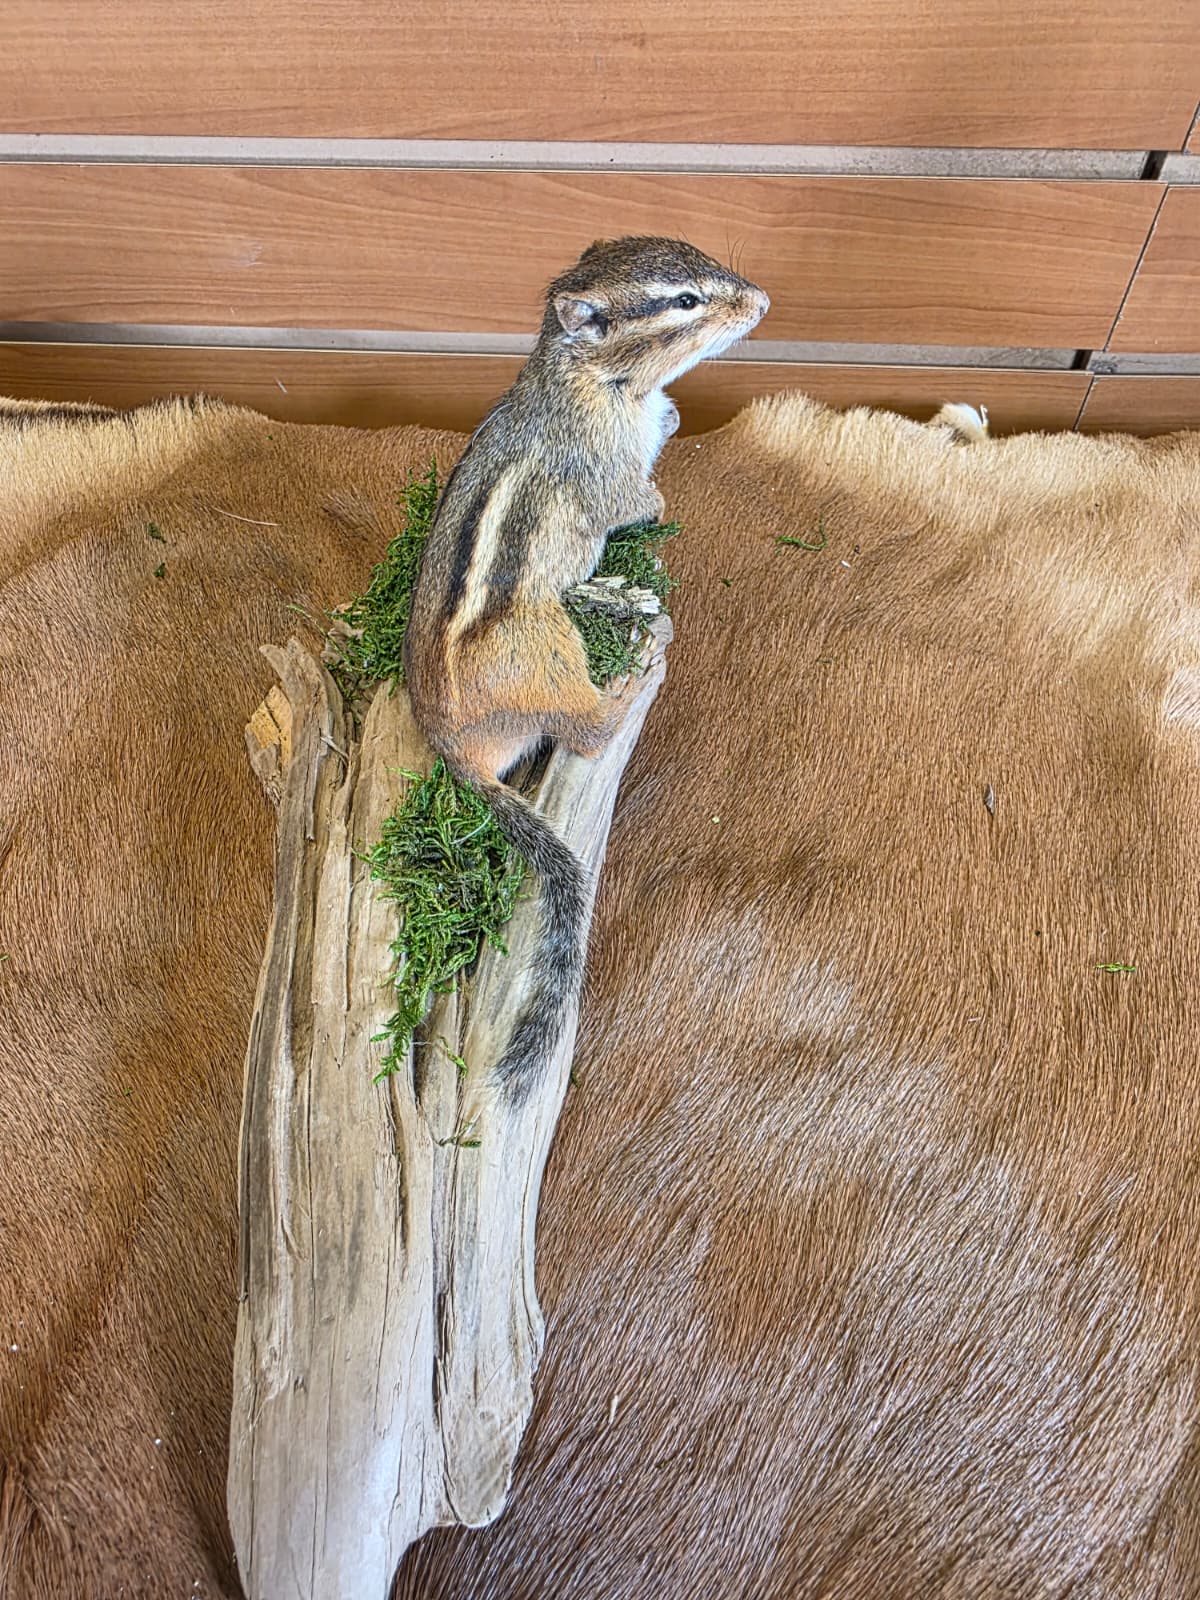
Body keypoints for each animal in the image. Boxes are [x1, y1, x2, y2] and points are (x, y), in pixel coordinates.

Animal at [403, 235, 769, 1091]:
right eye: (683, 301)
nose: (762, 301)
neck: (587, 381)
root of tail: (448, 745)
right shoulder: (606, 473)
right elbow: (639, 502)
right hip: (552, 643)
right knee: (587, 731)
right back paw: (631, 674)